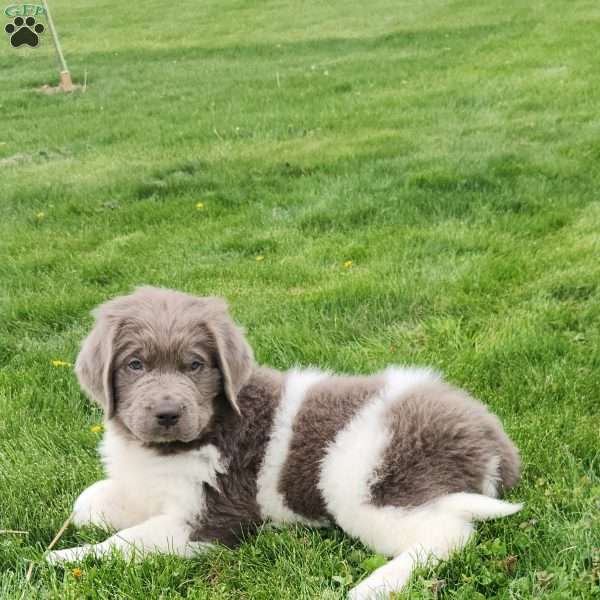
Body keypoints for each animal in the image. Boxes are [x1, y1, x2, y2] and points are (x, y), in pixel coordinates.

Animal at [48, 288, 520, 600]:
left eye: (195, 365)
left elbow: (125, 542)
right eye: (135, 365)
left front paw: (62, 557)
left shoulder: (211, 518)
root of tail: (493, 441)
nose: (167, 414)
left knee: (449, 534)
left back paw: (375, 585)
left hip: (360, 484)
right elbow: (87, 501)